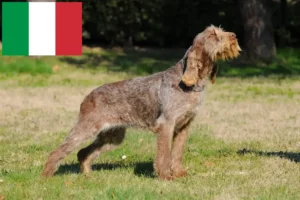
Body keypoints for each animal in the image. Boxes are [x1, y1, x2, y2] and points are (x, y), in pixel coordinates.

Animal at [41, 24, 241, 180]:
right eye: (212, 35)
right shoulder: (166, 125)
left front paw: (178, 173)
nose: (234, 35)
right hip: (86, 129)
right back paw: (46, 176)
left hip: (113, 136)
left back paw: (88, 174)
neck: (190, 85)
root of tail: (88, 96)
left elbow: (177, 153)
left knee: (83, 153)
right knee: (58, 151)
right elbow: (164, 154)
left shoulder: (184, 126)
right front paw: (165, 176)